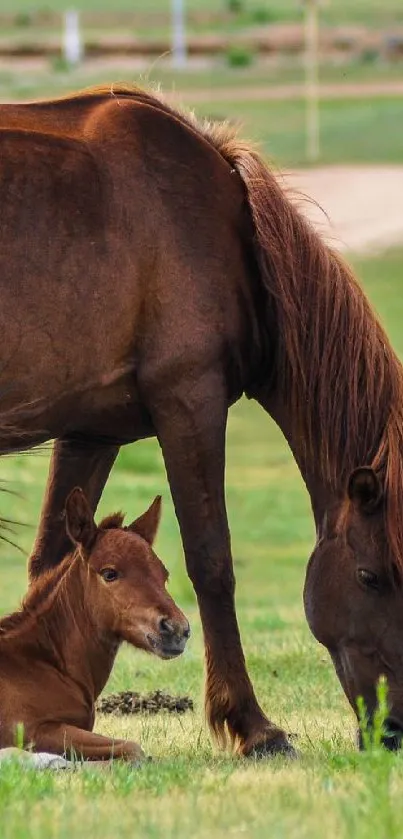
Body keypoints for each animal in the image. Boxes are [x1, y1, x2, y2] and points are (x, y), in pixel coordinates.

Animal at [0, 488, 190, 764]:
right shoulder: (33, 731)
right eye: (109, 573)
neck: (45, 662)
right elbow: (133, 748)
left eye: (163, 574)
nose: (177, 630)